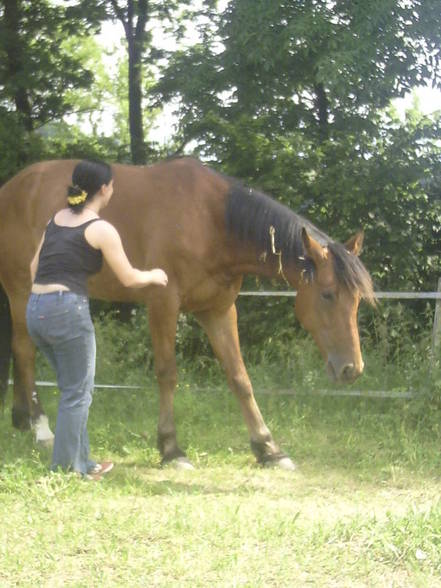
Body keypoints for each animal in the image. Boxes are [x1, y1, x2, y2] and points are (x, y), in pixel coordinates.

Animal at [0, 156, 374, 468]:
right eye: (327, 295)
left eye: (357, 299)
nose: (351, 369)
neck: (213, 222)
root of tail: (10, 189)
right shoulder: (163, 304)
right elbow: (167, 374)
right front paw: (170, 448)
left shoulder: (218, 310)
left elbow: (240, 377)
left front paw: (268, 448)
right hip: (22, 290)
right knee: (25, 351)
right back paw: (40, 428)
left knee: (21, 351)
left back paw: (21, 419)